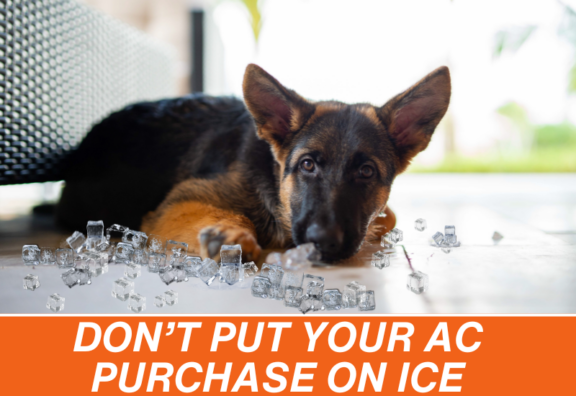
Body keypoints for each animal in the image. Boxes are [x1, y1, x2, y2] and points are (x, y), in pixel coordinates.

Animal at [58, 64, 452, 262]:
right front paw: (229, 234)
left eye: (366, 172)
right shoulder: (179, 201)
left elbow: (388, 216)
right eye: (307, 166)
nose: (322, 242)